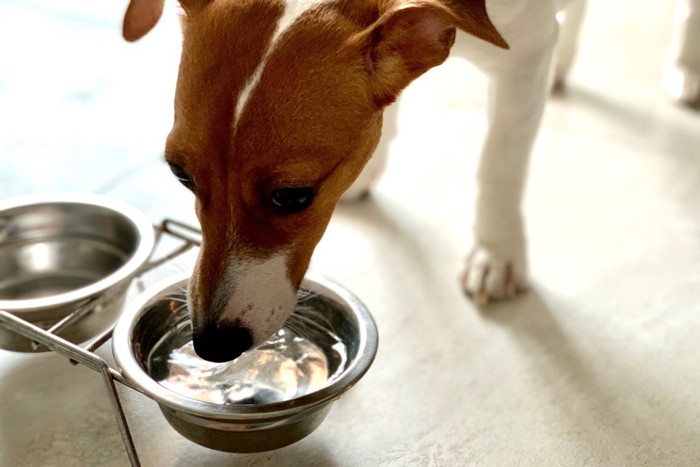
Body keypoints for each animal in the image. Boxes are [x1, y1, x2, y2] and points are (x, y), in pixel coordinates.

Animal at [119, 0, 584, 362]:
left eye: (293, 196)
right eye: (180, 174)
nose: (211, 345)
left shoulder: (525, 56)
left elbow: (500, 162)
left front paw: (496, 252)